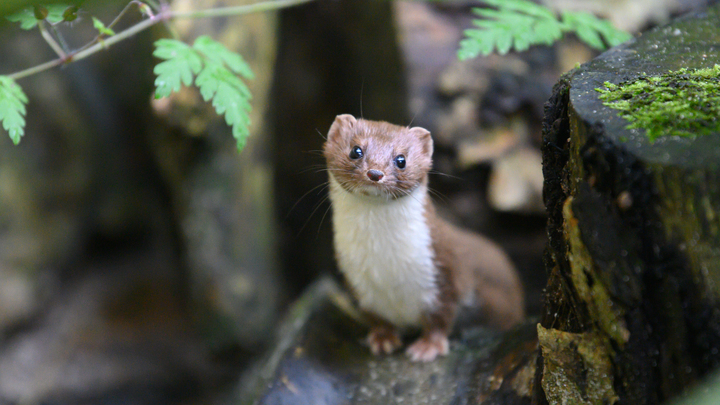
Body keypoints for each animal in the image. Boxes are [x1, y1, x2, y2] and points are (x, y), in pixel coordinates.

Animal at [324, 115, 524, 362]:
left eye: (401, 159)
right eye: (356, 150)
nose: (375, 173)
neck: (386, 265)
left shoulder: (444, 268)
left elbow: (441, 315)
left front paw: (428, 347)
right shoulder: (357, 281)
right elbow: (376, 317)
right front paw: (383, 339)